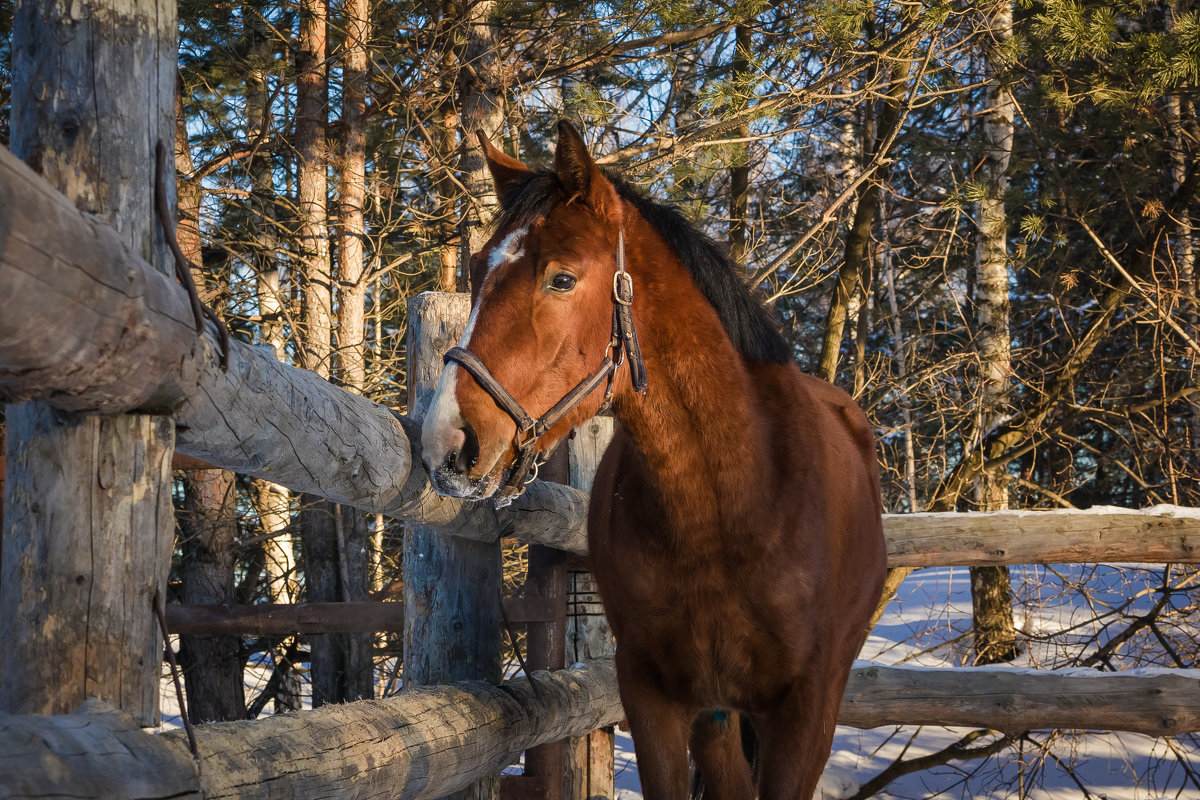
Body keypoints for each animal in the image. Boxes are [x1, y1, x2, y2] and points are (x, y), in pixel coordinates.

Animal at [420, 120, 883, 800]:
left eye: (561, 278)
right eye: (478, 270)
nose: (447, 442)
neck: (727, 505)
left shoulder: (806, 709)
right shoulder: (653, 696)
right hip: (716, 717)